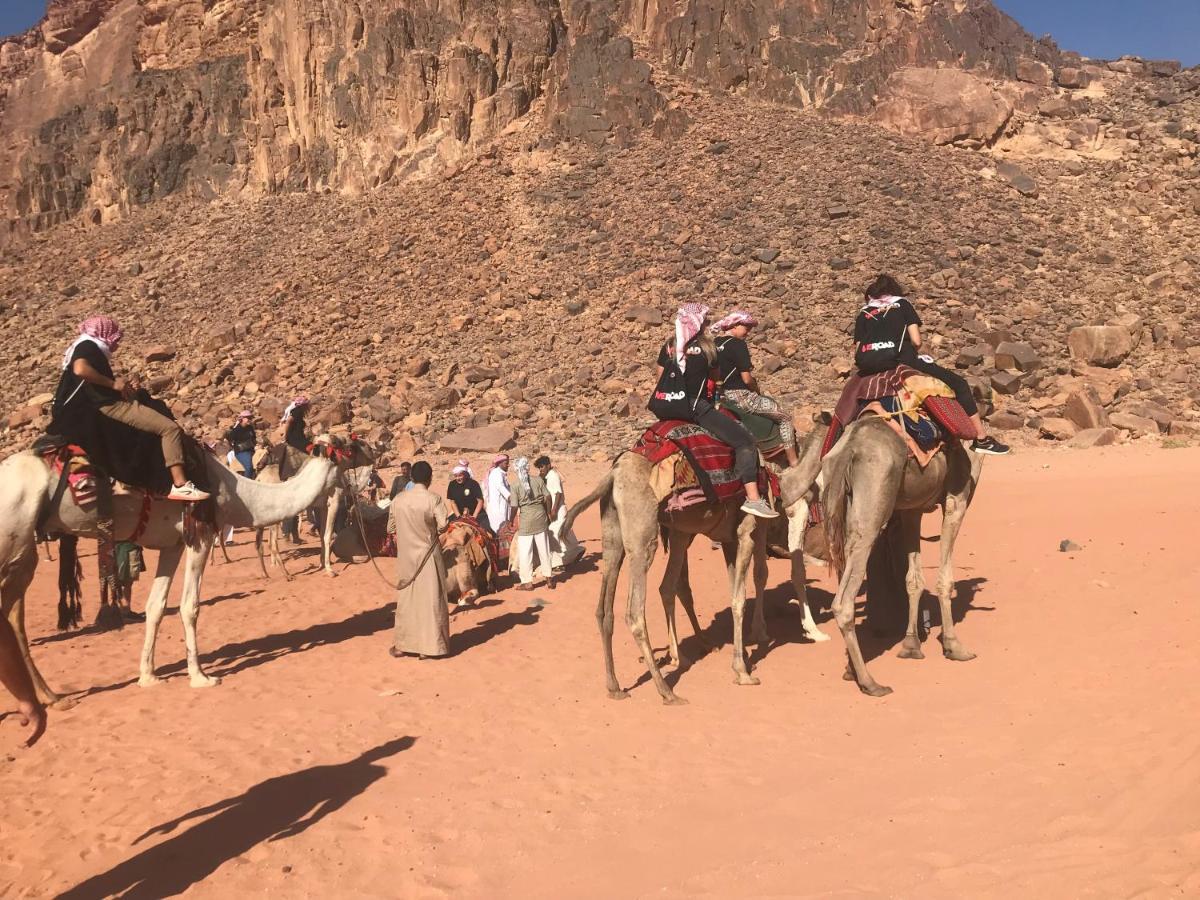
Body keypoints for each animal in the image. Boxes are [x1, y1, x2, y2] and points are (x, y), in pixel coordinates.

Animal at [0, 441, 367, 710]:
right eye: (352, 446)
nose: (373, 452)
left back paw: (51, 698)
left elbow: (156, 606)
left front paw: (148, 676)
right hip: (14, 541)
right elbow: (190, 606)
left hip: (22, 549)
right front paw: (200, 677)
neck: (237, 493)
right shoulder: (200, 535)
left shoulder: (172, 543)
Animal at [825, 415, 984, 696]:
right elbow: (945, 580)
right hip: (873, 504)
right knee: (843, 602)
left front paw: (911, 645)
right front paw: (954, 646)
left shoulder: (913, 508)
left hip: (842, 507)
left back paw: (851, 670)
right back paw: (870, 682)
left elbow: (913, 580)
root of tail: (850, 449)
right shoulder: (957, 500)